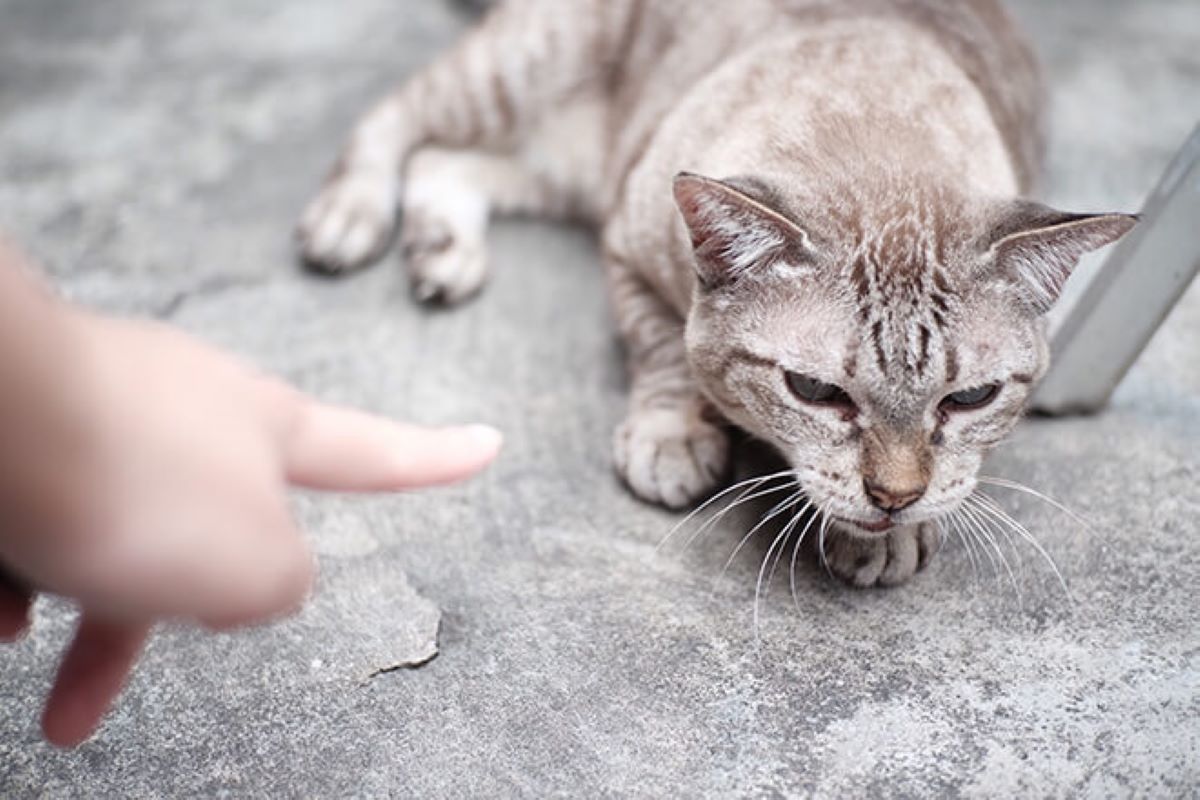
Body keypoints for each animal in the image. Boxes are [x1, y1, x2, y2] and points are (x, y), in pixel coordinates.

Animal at [297, 0, 1132, 587]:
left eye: (969, 400)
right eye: (816, 392)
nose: (894, 498)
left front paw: (888, 537)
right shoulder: (628, 251)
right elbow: (665, 352)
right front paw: (672, 438)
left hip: (569, 166)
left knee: (446, 163)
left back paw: (443, 256)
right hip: (524, 75)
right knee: (398, 122)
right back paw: (349, 220)